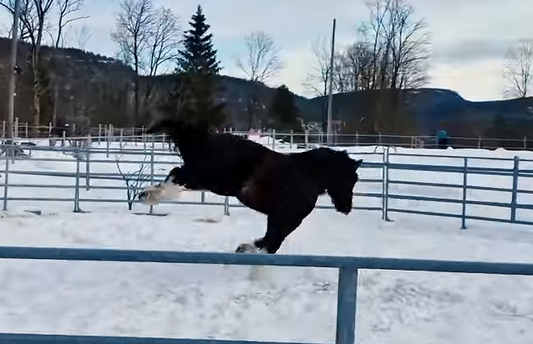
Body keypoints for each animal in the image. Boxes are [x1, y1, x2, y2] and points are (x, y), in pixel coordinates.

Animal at [137, 119, 364, 254]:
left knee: (174, 174)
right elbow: (272, 243)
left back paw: (147, 195)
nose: (346, 207)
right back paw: (148, 197)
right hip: (208, 177)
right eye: (351, 178)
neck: (308, 176)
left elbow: (270, 240)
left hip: (209, 180)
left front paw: (245, 248)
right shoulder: (287, 218)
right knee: (176, 177)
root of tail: (206, 139)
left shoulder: (277, 217)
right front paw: (247, 249)